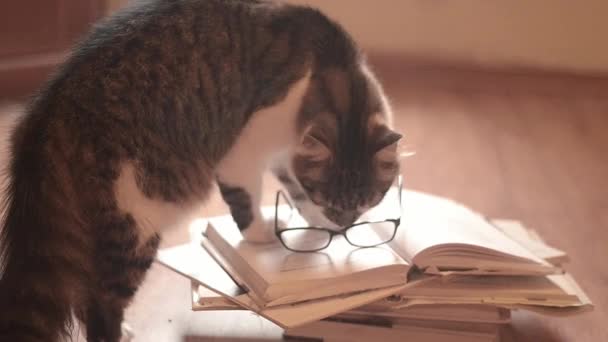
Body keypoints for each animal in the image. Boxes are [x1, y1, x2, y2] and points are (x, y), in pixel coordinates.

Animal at [0, 0, 402, 342]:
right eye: (336, 203)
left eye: (365, 204)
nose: (344, 224)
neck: (329, 74)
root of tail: (50, 110)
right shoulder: (244, 151)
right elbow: (248, 205)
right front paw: (265, 236)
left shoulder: (285, 155)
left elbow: (295, 191)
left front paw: (309, 222)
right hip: (136, 224)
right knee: (101, 305)